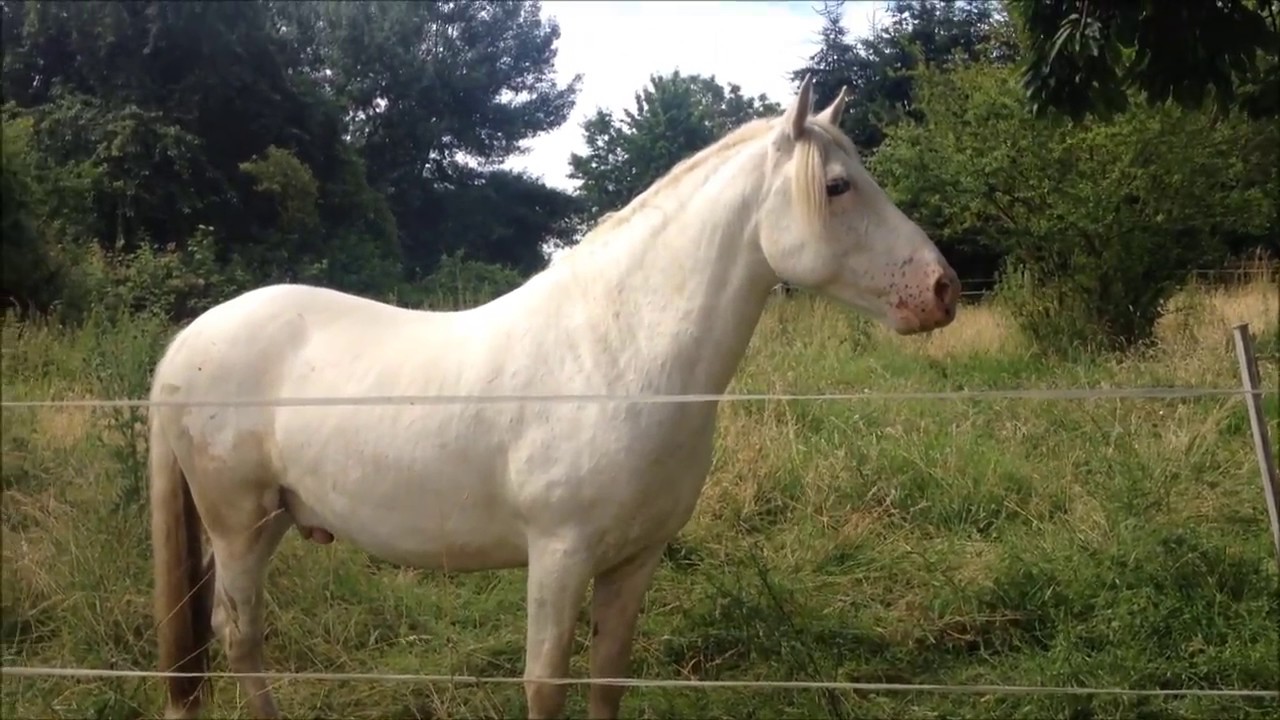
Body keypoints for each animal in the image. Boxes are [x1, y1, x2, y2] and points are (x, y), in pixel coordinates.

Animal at [149, 77, 960, 719]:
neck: (617, 356)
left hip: (270, 523)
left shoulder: (633, 562)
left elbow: (607, 679)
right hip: (239, 525)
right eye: (838, 186)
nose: (942, 289)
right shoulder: (560, 556)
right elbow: (546, 685)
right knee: (240, 634)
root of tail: (185, 346)